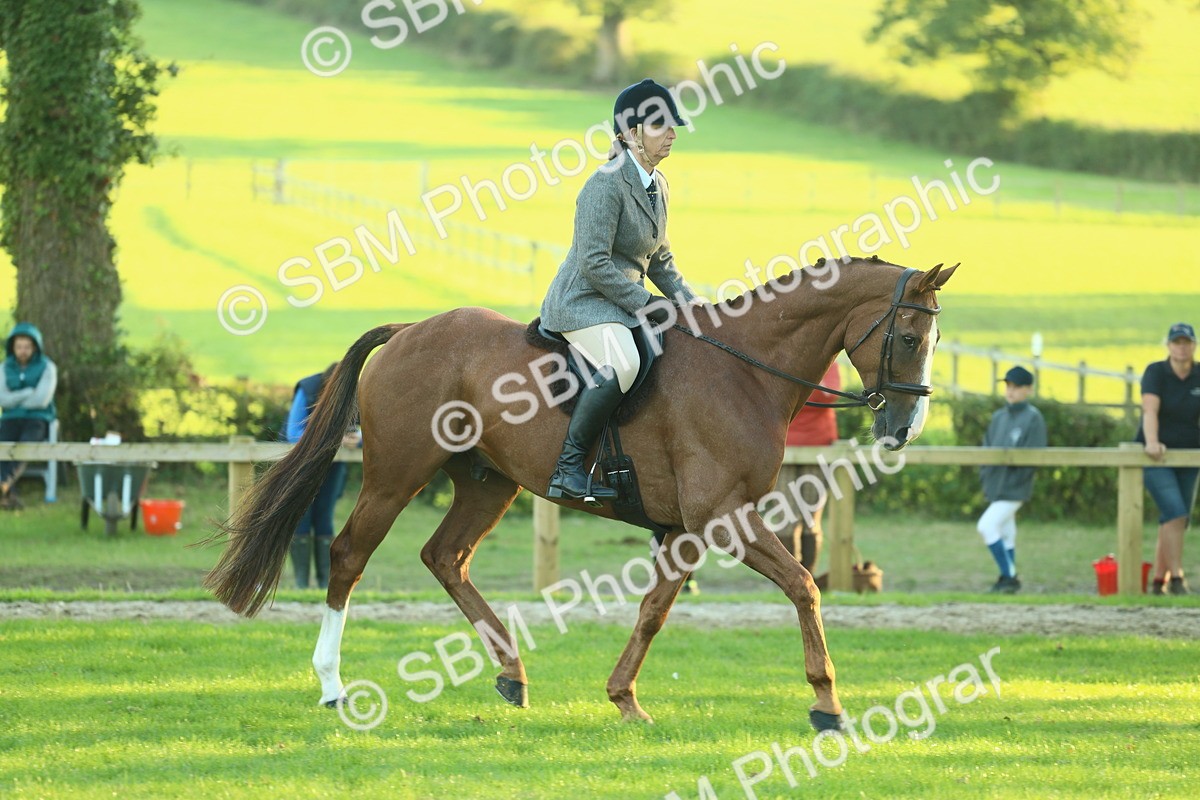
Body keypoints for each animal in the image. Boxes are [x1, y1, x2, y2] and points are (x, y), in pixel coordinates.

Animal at [203, 256, 956, 731]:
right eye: (909, 336)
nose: (904, 428)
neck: (745, 370)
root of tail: (410, 330)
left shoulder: (686, 529)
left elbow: (653, 611)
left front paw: (624, 699)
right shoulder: (724, 517)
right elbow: (804, 585)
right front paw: (827, 704)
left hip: (488, 484)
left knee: (446, 558)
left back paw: (512, 673)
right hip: (396, 475)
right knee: (349, 556)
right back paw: (333, 685)